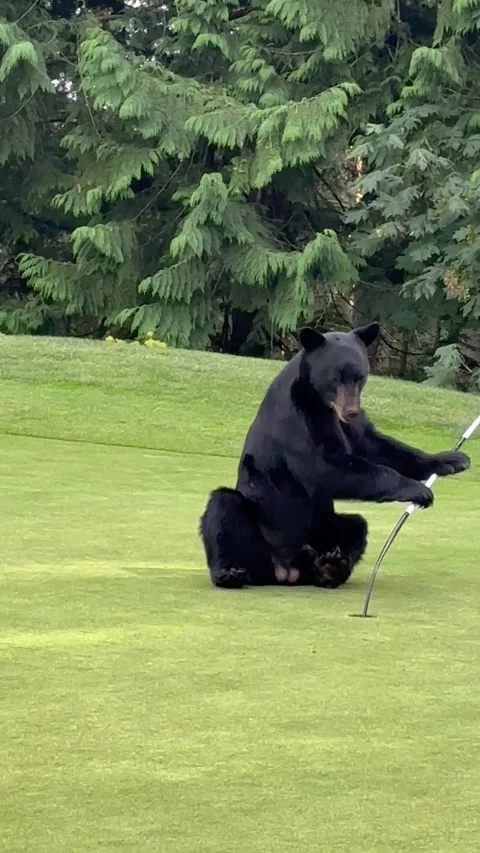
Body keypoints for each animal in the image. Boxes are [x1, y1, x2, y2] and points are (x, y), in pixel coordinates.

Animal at [199, 323, 470, 589]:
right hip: (261, 530)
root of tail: (285, 571)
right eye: (335, 378)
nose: (350, 411)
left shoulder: (350, 425)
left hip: (323, 530)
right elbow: (326, 467)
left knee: (357, 527)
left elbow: (376, 446)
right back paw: (229, 573)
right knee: (223, 509)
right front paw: (418, 489)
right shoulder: (297, 417)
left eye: (360, 377)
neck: (320, 401)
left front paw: (451, 460)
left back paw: (330, 568)